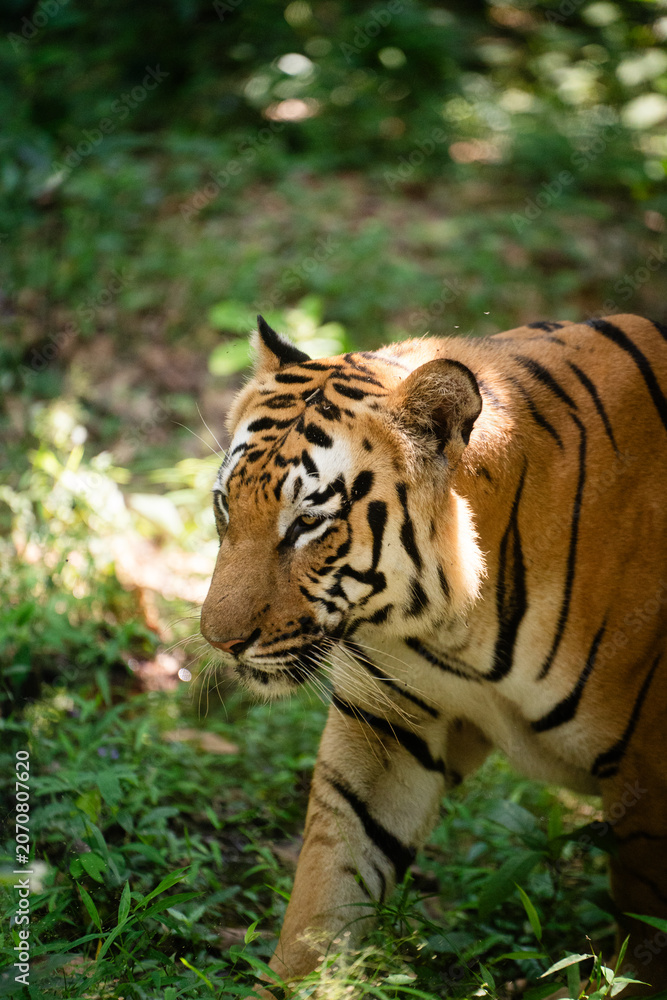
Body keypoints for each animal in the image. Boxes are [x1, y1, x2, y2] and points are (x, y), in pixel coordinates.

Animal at [200, 313, 667, 995]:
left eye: (308, 523)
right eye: (225, 505)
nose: (218, 640)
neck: (456, 629)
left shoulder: (646, 778)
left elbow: (644, 930)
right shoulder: (387, 727)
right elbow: (329, 882)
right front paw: (292, 980)